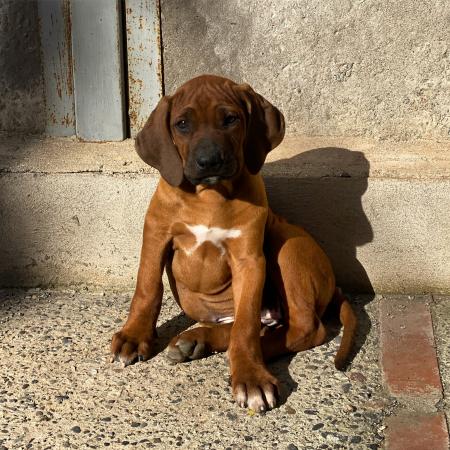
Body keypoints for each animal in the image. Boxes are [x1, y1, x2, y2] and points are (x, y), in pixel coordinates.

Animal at [110, 74, 356, 412]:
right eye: (182, 124)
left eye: (230, 119)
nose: (209, 161)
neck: (209, 196)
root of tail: (335, 290)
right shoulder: (156, 234)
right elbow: (147, 288)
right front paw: (134, 336)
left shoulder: (249, 259)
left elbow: (245, 326)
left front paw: (251, 376)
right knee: (249, 323)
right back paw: (196, 340)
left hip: (285, 245)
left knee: (300, 326)